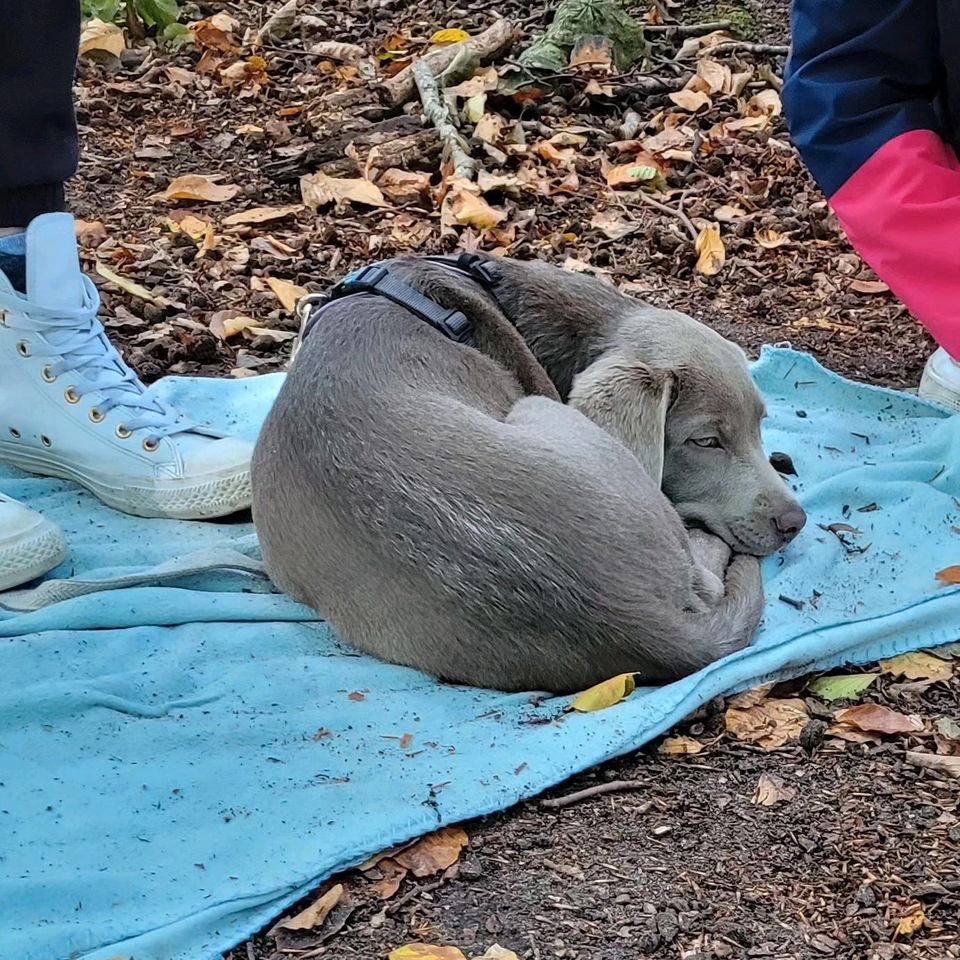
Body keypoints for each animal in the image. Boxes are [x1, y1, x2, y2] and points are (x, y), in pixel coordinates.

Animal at [251, 253, 808, 688]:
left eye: (760, 426)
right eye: (707, 441)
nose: (795, 522)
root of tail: (620, 608)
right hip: (543, 412)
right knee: (705, 579)